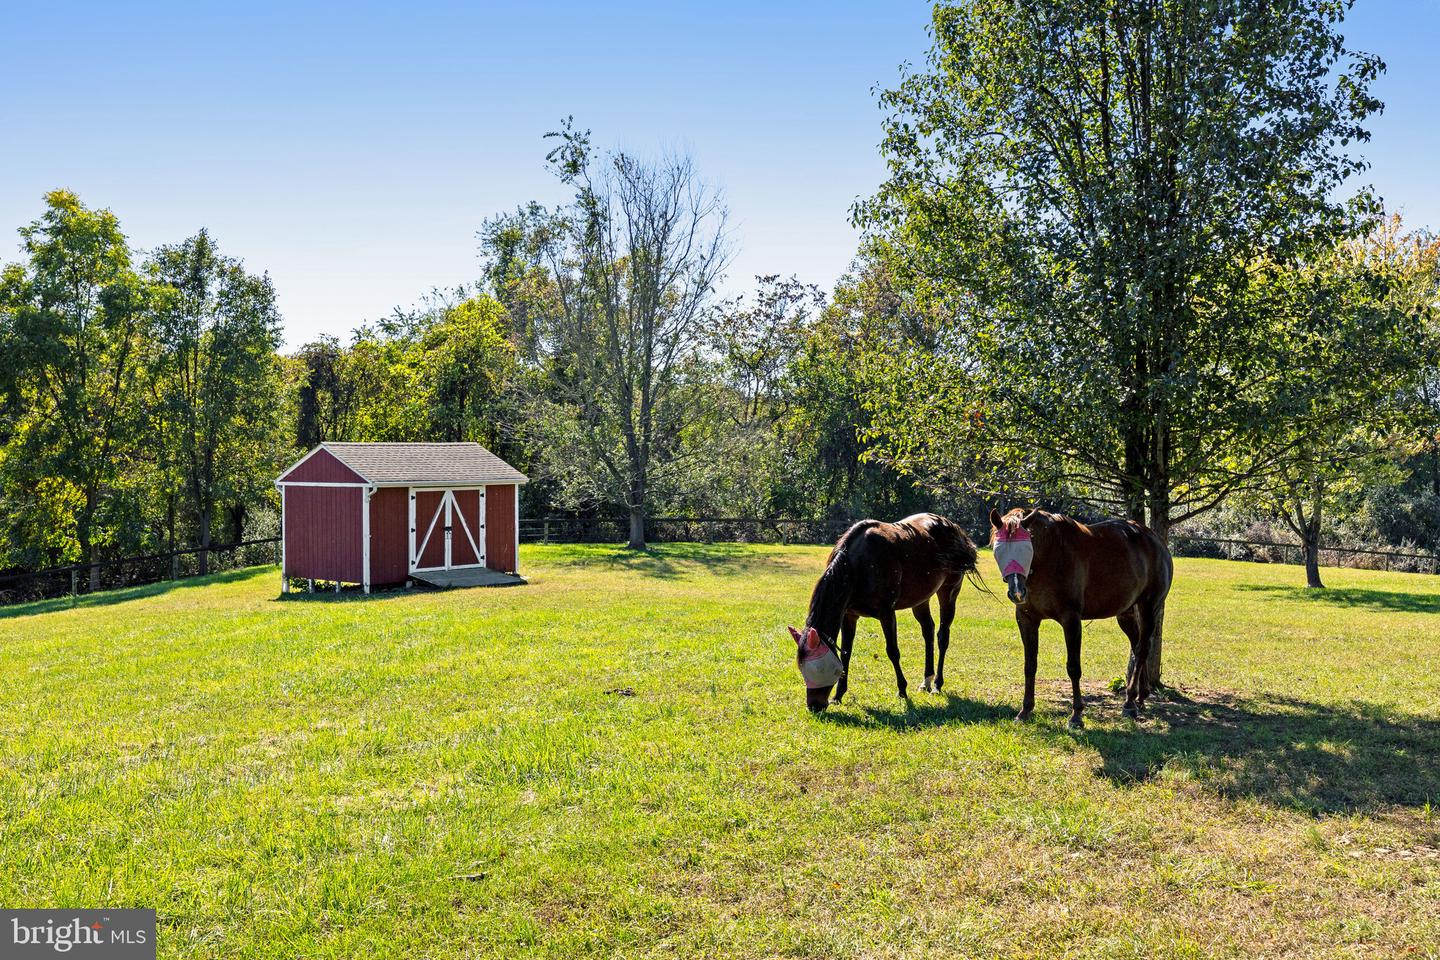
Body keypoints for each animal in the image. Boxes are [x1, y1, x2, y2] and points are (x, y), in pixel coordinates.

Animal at [789, 515, 979, 711]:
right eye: (801, 668)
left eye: (818, 669)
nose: (814, 705)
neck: (857, 564)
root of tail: (952, 527)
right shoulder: (849, 615)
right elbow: (846, 653)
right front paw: (839, 695)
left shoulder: (887, 613)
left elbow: (893, 651)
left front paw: (902, 690)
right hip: (921, 599)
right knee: (928, 631)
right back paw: (926, 680)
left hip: (950, 591)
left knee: (943, 636)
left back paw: (937, 684)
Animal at [990, 509, 1169, 728]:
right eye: (998, 550)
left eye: (1026, 547)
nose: (1016, 592)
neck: (1050, 557)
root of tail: (1156, 541)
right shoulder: (1026, 620)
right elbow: (1030, 665)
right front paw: (1025, 710)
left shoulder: (1071, 620)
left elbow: (1073, 667)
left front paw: (1076, 716)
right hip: (1125, 614)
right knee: (1136, 647)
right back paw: (1140, 697)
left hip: (1148, 607)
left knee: (1142, 650)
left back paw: (1129, 703)